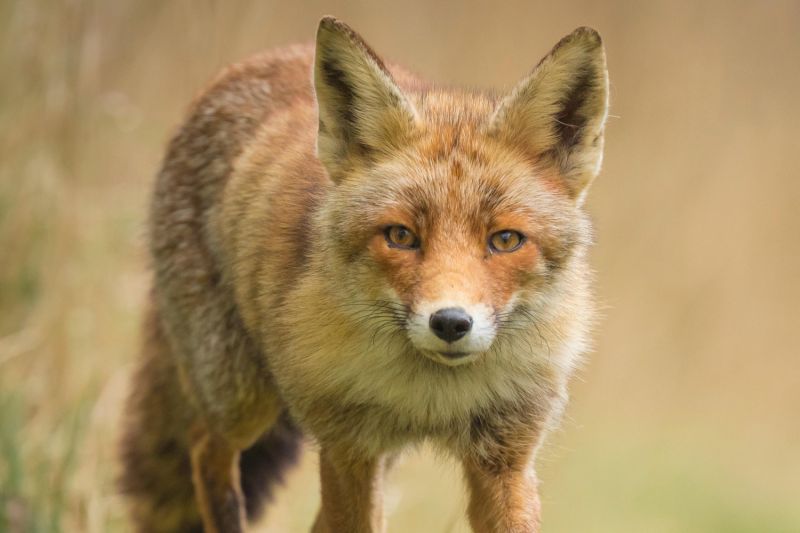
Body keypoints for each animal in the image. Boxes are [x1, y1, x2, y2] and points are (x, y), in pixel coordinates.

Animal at [119, 14, 608, 528]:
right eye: (401, 236)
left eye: (506, 240)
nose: (451, 323)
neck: (432, 396)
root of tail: (257, 60)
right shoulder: (347, 447)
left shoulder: (505, 456)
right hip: (240, 398)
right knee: (203, 447)